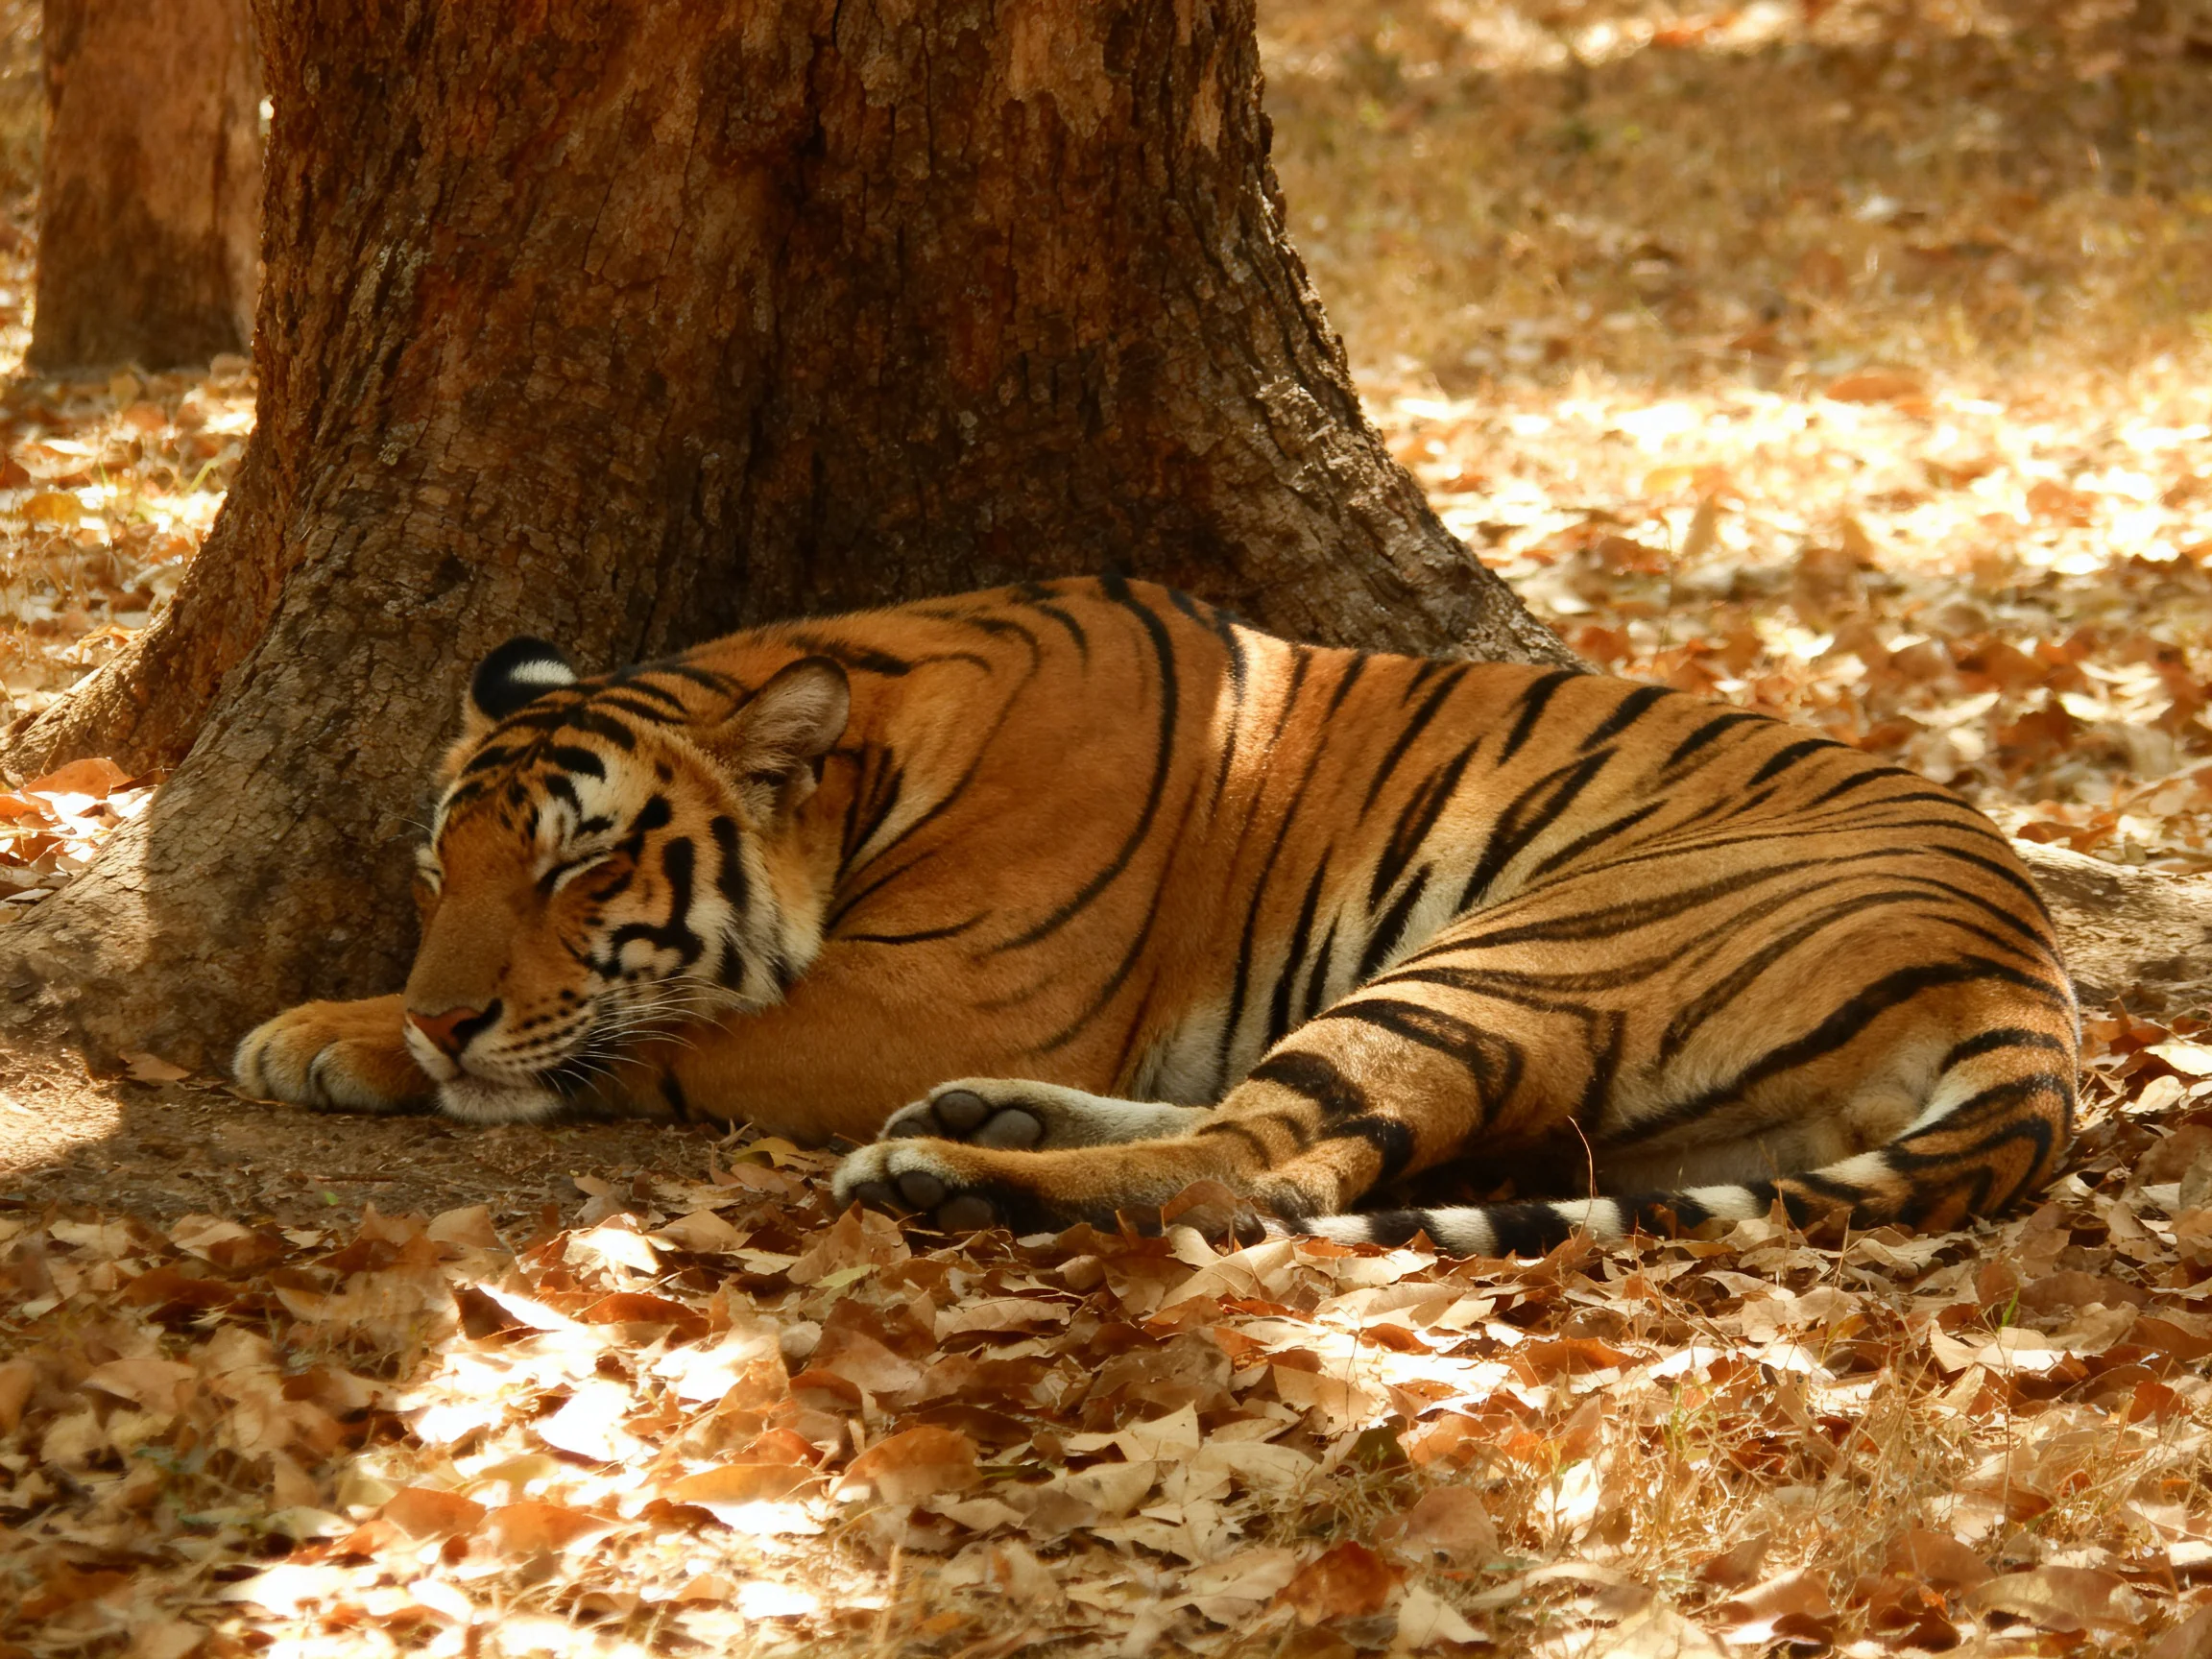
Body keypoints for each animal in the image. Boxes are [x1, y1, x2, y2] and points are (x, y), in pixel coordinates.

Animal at [234, 575, 2077, 1257]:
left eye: (580, 869)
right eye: (440, 873)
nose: (442, 1011)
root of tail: (2028, 971)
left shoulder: (928, 993)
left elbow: (648, 1032)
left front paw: (331, 1035)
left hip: (1522, 947)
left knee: (1264, 1172)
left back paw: (944, 1169)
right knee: (1271, 1135)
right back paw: (983, 1127)